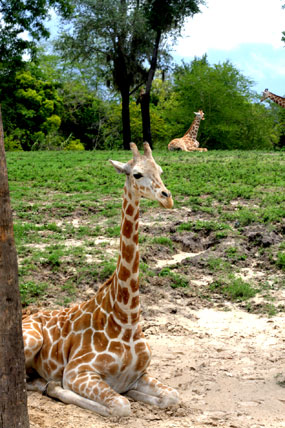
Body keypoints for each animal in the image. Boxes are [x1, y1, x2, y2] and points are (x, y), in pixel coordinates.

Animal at [22, 142, 178, 416]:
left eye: (160, 170)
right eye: (136, 174)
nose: (166, 197)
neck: (126, 318)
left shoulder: (140, 374)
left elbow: (172, 396)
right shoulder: (77, 372)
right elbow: (121, 406)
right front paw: (56, 387)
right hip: (32, 339)